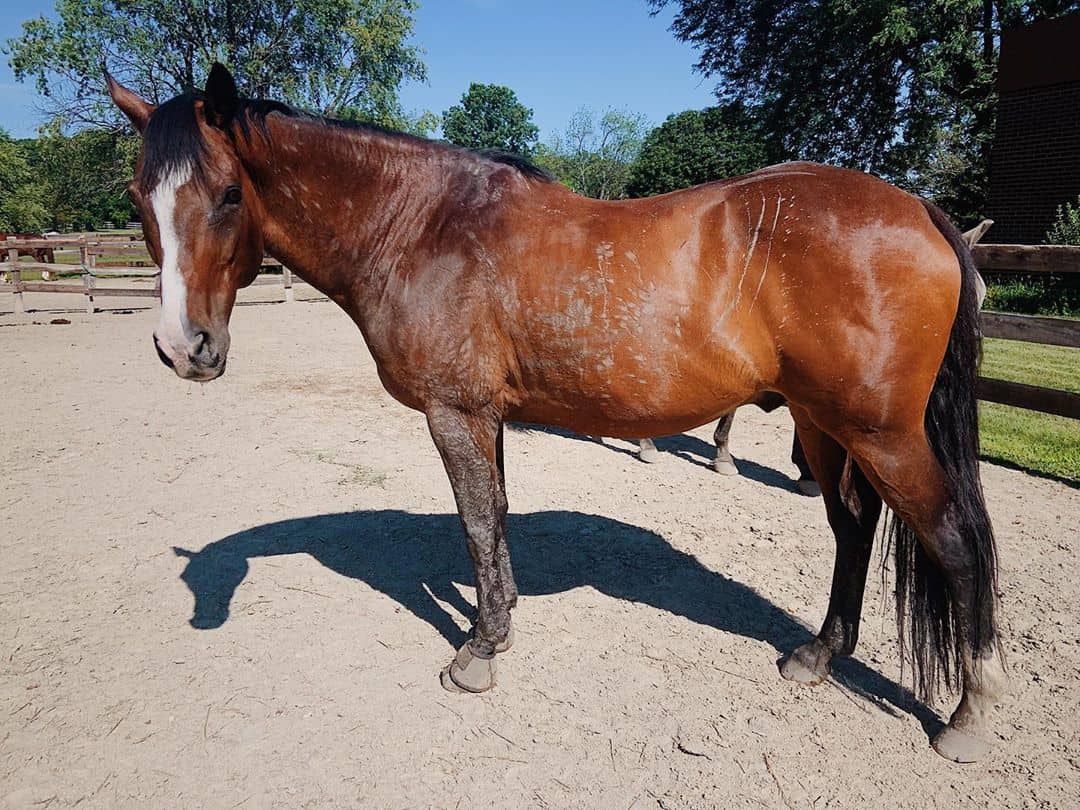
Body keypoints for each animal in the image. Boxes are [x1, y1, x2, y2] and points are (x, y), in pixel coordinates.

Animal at [108, 63, 1004, 763]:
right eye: (140, 198)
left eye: (228, 194)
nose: (183, 347)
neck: (421, 226)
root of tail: (921, 212)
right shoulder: (487, 415)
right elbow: (497, 518)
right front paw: (500, 623)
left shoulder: (455, 413)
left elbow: (476, 521)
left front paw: (476, 653)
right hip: (823, 426)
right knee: (853, 527)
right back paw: (818, 655)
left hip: (882, 435)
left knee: (956, 542)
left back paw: (968, 715)